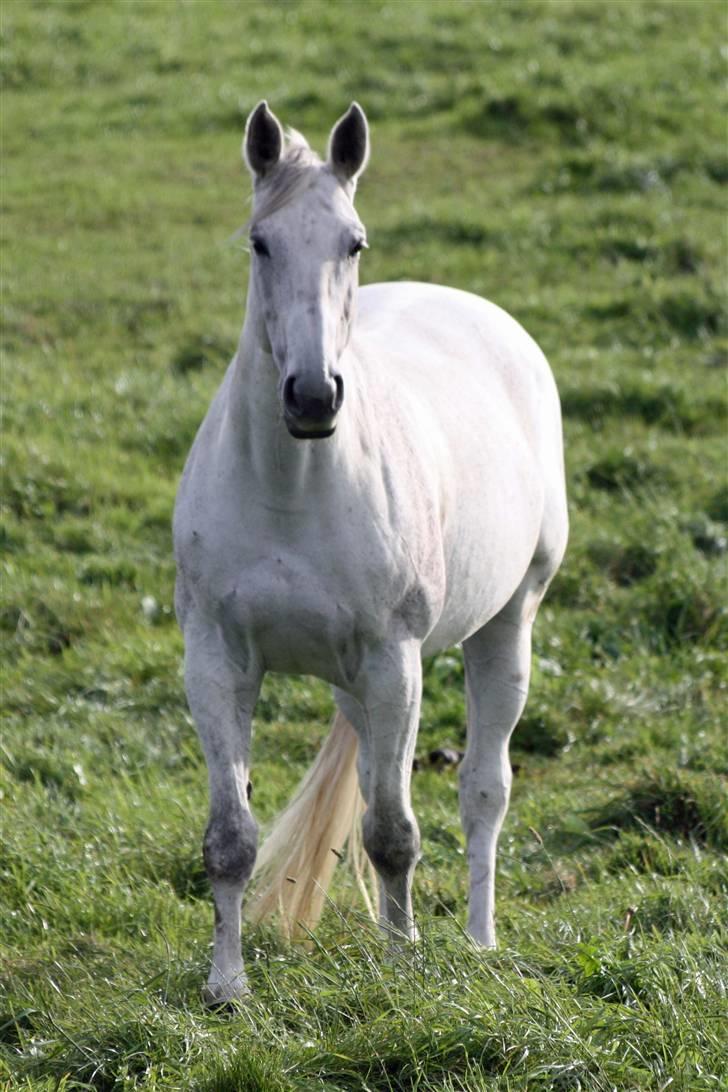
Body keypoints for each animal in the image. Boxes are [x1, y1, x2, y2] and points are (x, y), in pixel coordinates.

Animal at [174, 104, 567, 1004]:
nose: (313, 397)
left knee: (483, 791)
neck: (293, 487)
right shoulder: (216, 660)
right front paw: (227, 986)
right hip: (354, 684)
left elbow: (393, 832)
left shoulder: (394, 661)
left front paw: (402, 970)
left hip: (507, 626)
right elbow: (230, 837)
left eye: (353, 242)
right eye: (260, 242)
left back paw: (479, 941)